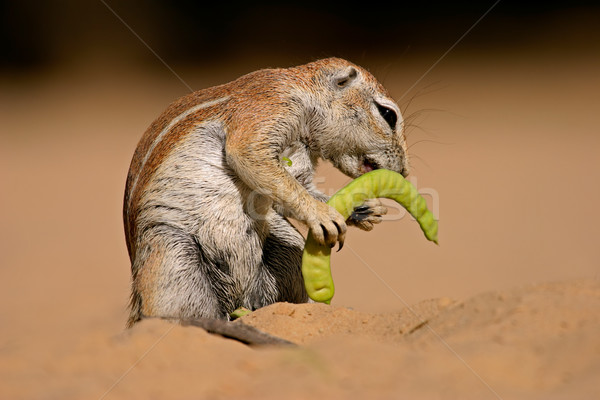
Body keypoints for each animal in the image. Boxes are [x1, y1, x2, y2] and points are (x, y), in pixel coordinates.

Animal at [124, 56, 410, 326]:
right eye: (388, 115)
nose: (404, 172)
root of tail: (236, 300)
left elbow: (295, 189)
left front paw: (364, 210)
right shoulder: (271, 105)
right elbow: (249, 154)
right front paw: (322, 215)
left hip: (287, 245)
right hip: (171, 257)